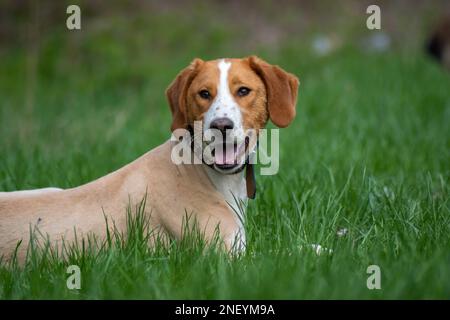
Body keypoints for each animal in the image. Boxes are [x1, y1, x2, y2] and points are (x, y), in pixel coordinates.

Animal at [0, 56, 298, 262]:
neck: (204, 169)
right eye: (204, 93)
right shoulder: (226, 253)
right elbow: (293, 253)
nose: (221, 125)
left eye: (244, 91)